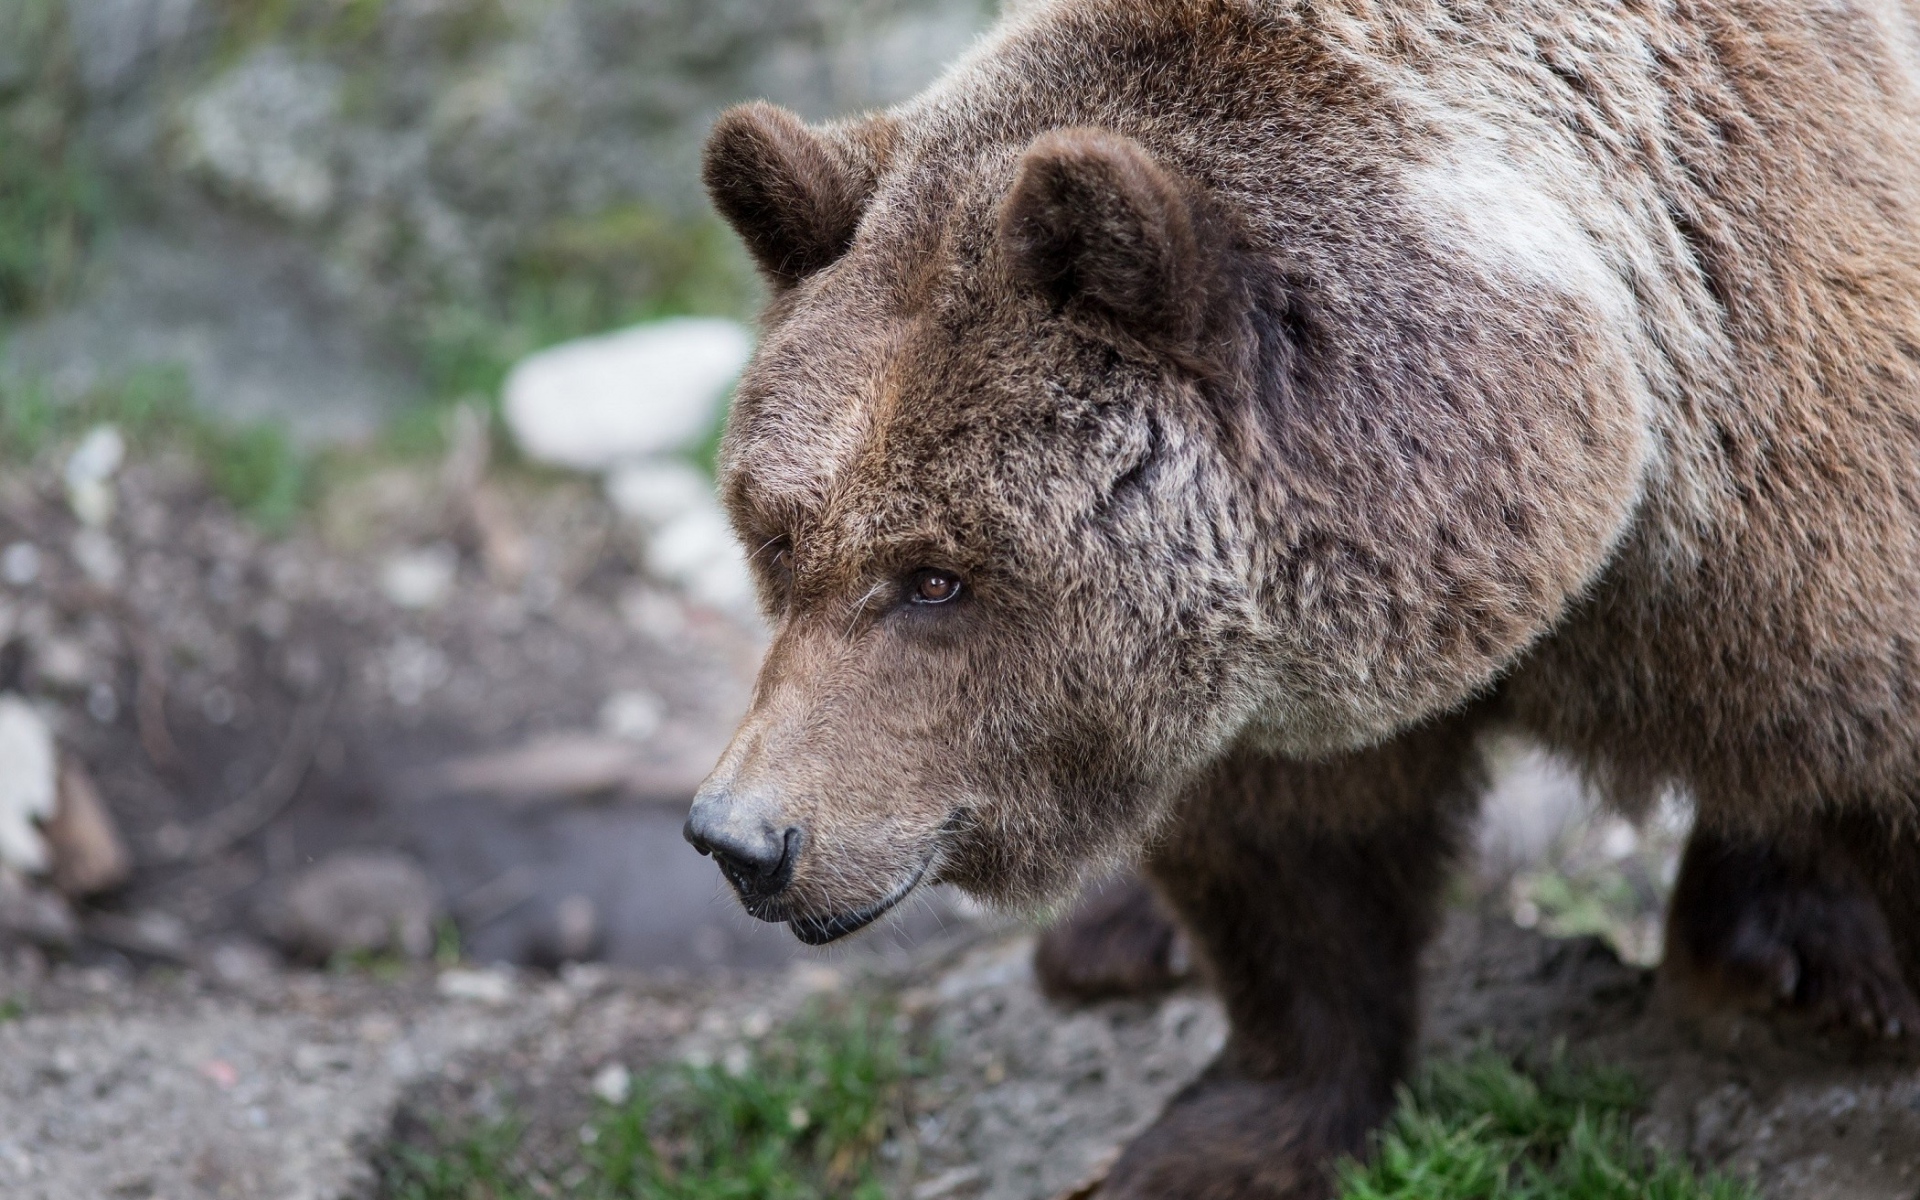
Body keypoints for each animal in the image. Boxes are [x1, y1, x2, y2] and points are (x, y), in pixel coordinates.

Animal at [682, 0, 1920, 1194]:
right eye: (778, 537)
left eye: (935, 577)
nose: (742, 839)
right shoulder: (1251, 673)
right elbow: (1289, 867)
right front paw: (1225, 1138)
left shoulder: (1787, 476)